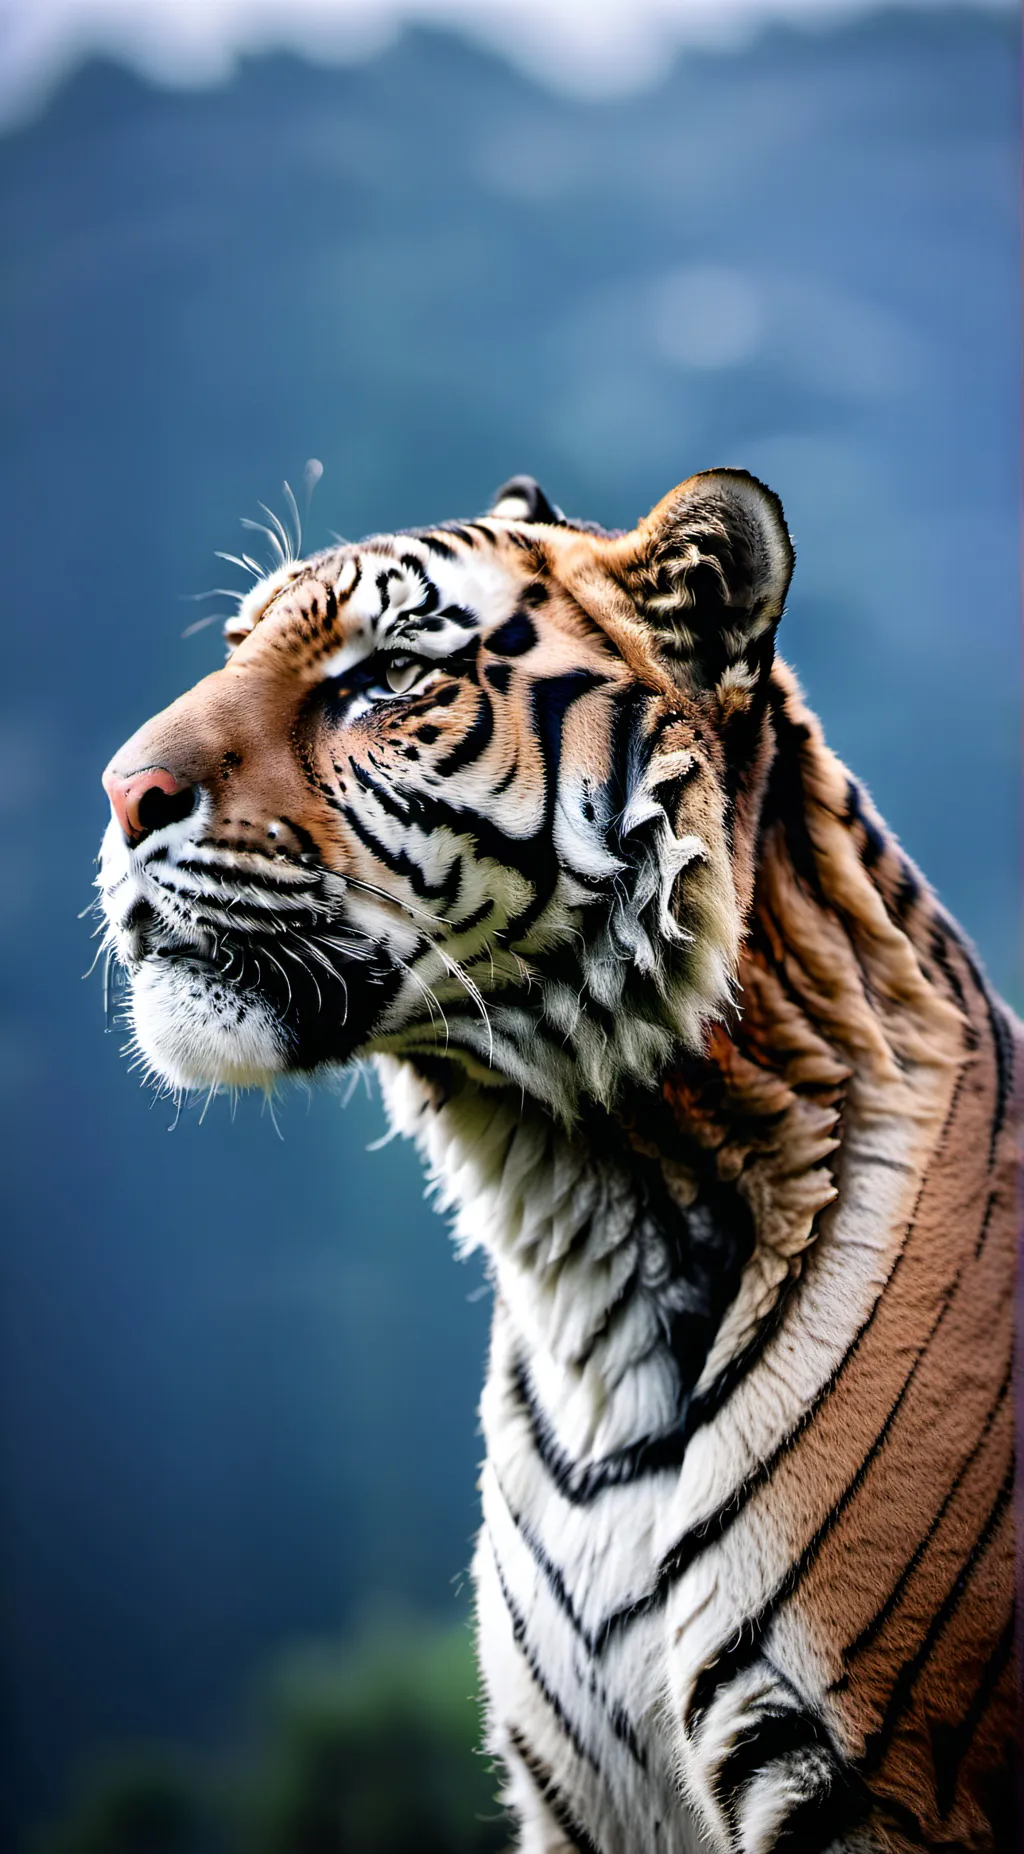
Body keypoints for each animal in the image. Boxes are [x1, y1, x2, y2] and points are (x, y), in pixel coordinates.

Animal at [98, 467, 1019, 1853]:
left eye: (385, 678)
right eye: (237, 645)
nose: (120, 795)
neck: (586, 1212)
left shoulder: (872, 1785)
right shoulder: (586, 1796)